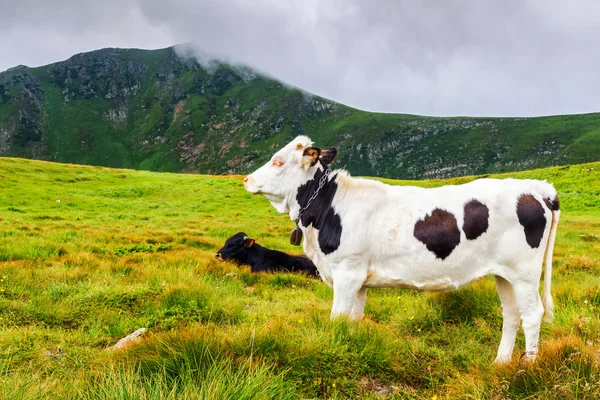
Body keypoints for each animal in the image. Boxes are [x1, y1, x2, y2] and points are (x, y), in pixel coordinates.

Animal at [241, 135, 560, 362]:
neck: (327, 209)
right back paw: (500, 363)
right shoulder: (359, 279)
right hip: (504, 274)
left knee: (533, 314)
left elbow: (337, 318)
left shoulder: (346, 273)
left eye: (278, 162)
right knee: (512, 314)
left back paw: (527, 367)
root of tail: (537, 189)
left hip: (525, 273)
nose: (246, 179)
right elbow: (353, 320)